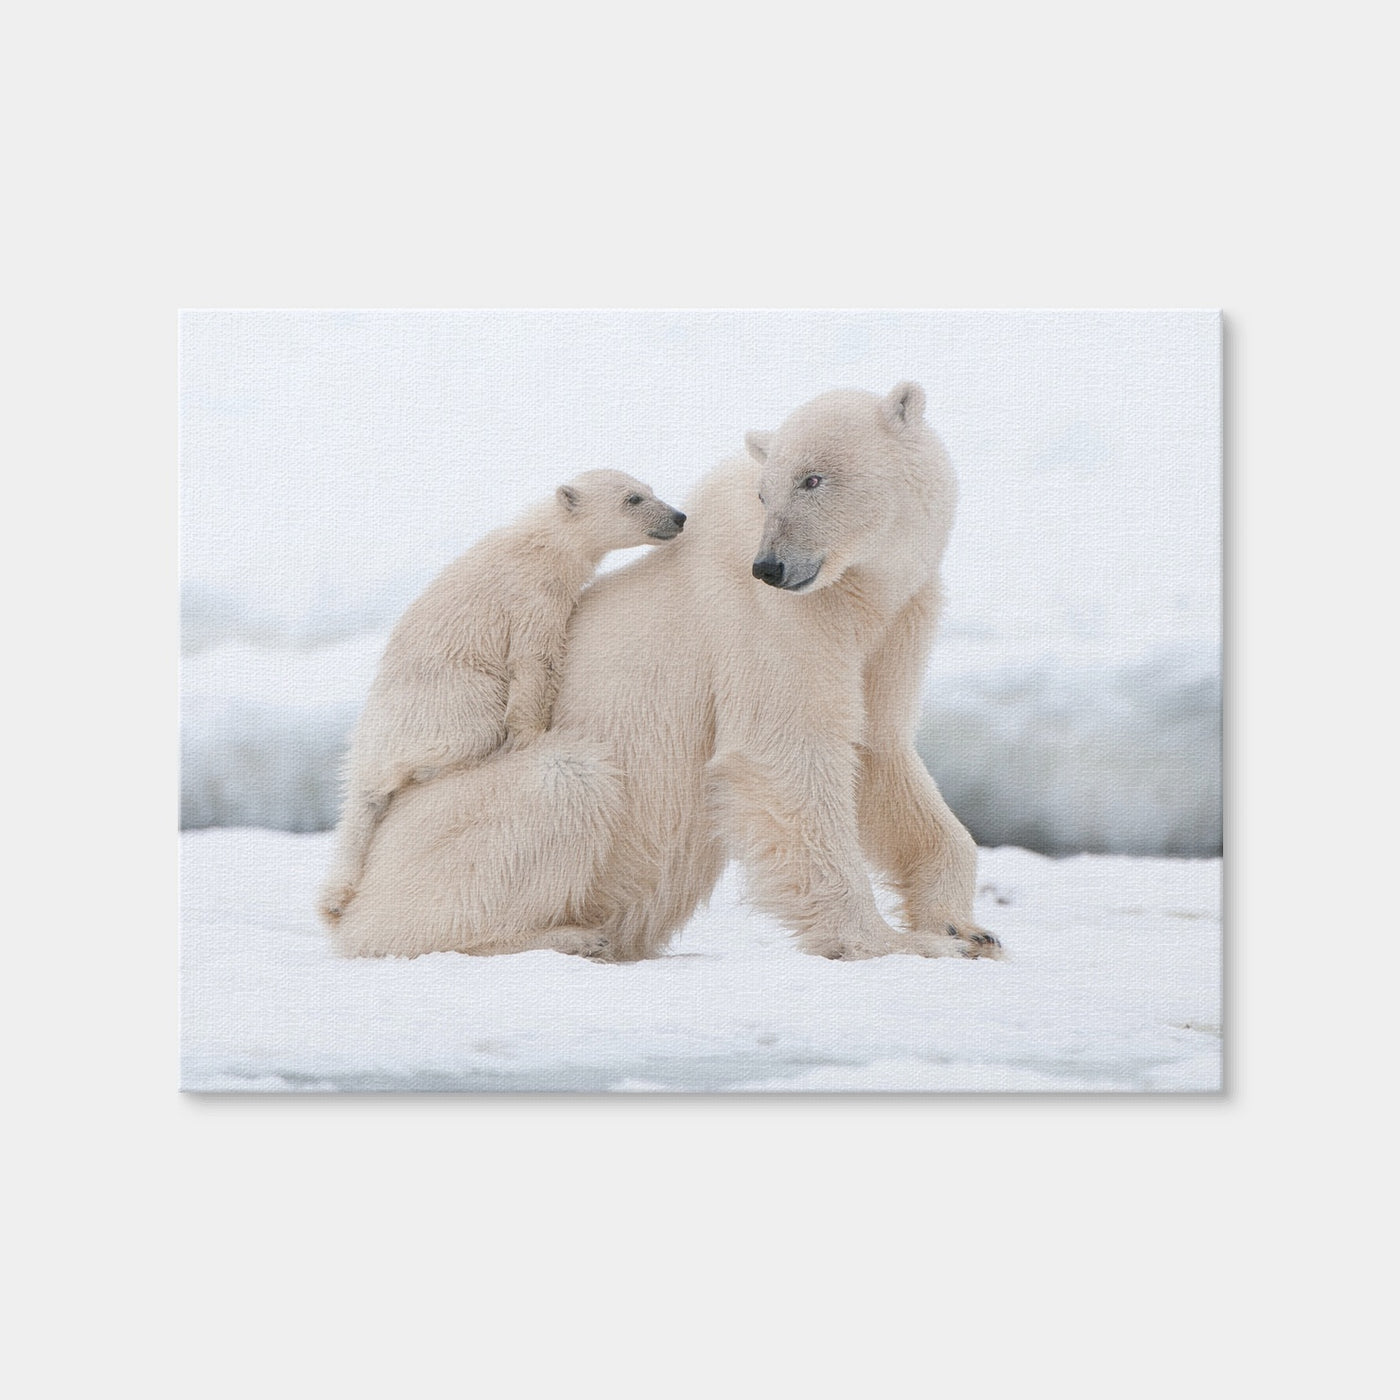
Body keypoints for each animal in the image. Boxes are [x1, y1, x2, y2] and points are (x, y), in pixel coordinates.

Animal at [316, 469, 686, 926]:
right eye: (633, 498)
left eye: (650, 490)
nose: (678, 516)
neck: (541, 543)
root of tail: (365, 751)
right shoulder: (531, 596)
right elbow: (534, 660)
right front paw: (530, 735)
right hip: (447, 699)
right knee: (462, 733)